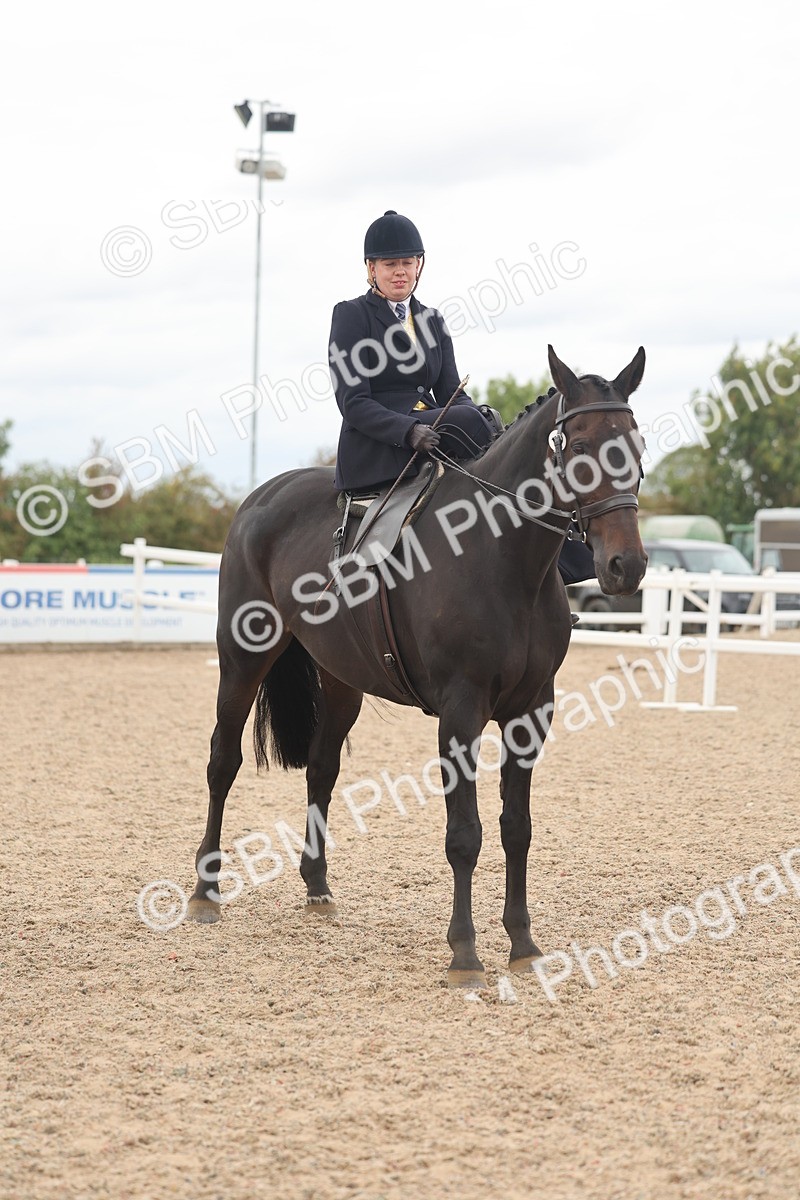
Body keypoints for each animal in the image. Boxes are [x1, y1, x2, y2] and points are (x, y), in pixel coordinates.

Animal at [187, 345, 648, 988]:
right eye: (578, 446)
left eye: (636, 442)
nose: (626, 566)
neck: (501, 557)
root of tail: (261, 496)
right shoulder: (460, 711)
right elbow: (465, 835)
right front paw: (465, 953)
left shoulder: (532, 711)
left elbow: (517, 828)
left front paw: (523, 943)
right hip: (242, 658)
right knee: (222, 761)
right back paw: (205, 890)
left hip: (342, 680)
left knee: (321, 769)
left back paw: (317, 885)